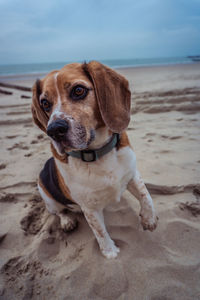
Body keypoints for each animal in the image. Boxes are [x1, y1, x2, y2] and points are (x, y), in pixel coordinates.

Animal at [31, 61, 158, 258]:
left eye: (78, 90)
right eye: (45, 103)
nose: (53, 130)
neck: (97, 153)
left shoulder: (132, 174)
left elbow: (146, 196)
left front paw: (148, 219)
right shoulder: (89, 208)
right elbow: (100, 231)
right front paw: (110, 252)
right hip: (47, 196)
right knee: (58, 212)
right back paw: (67, 221)